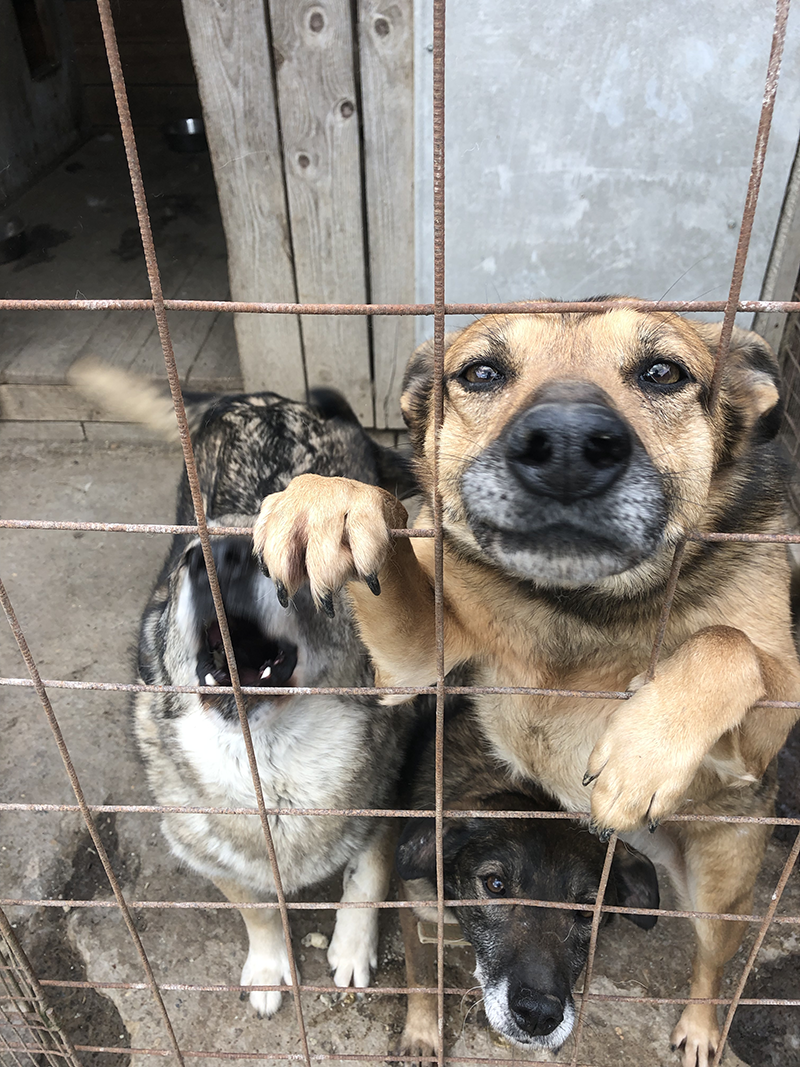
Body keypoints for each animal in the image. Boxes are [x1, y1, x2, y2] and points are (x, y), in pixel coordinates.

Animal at [392, 699, 661, 1058]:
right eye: (495, 885)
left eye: (587, 910)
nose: (538, 1014)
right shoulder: (415, 903)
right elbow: (421, 975)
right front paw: (422, 1036)